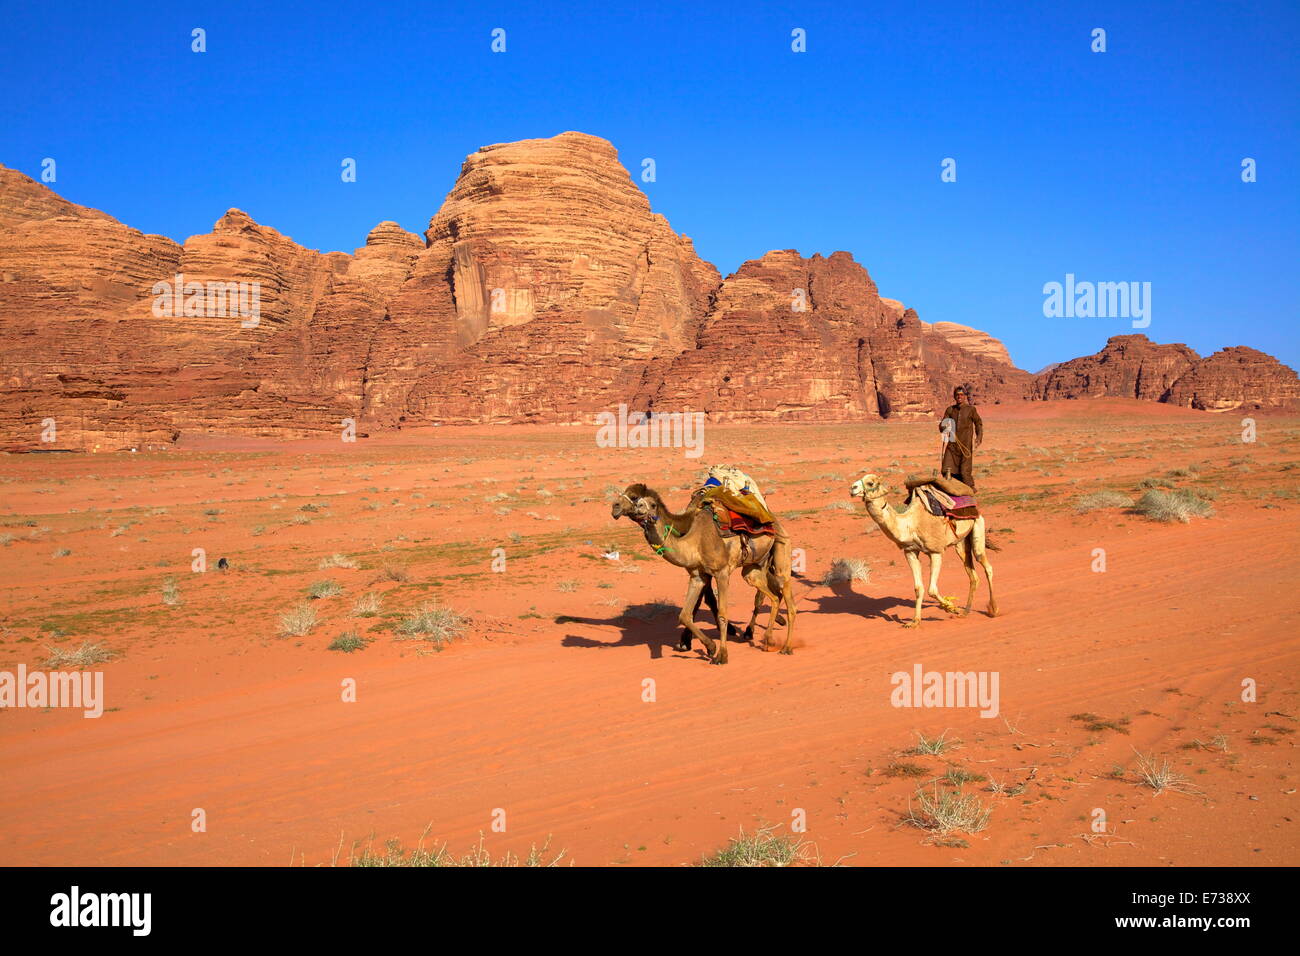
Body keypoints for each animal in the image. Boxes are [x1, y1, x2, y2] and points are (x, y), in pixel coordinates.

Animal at [611, 486, 800, 665]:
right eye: (637, 501)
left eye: (651, 504)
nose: (616, 506)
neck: (695, 541)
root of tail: (772, 518)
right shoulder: (698, 576)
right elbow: (685, 614)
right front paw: (709, 647)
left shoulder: (721, 573)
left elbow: (722, 614)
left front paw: (722, 656)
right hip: (753, 568)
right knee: (773, 596)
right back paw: (767, 640)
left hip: (781, 548)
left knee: (788, 598)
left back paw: (786, 647)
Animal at [847, 473, 998, 629]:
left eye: (870, 483)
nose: (852, 488)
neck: (910, 525)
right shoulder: (910, 552)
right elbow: (918, 588)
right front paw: (914, 621)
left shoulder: (935, 551)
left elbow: (932, 589)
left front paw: (951, 607)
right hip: (960, 542)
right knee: (972, 574)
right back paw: (965, 611)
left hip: (978, 524)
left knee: (986, 565)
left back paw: (992, 609)